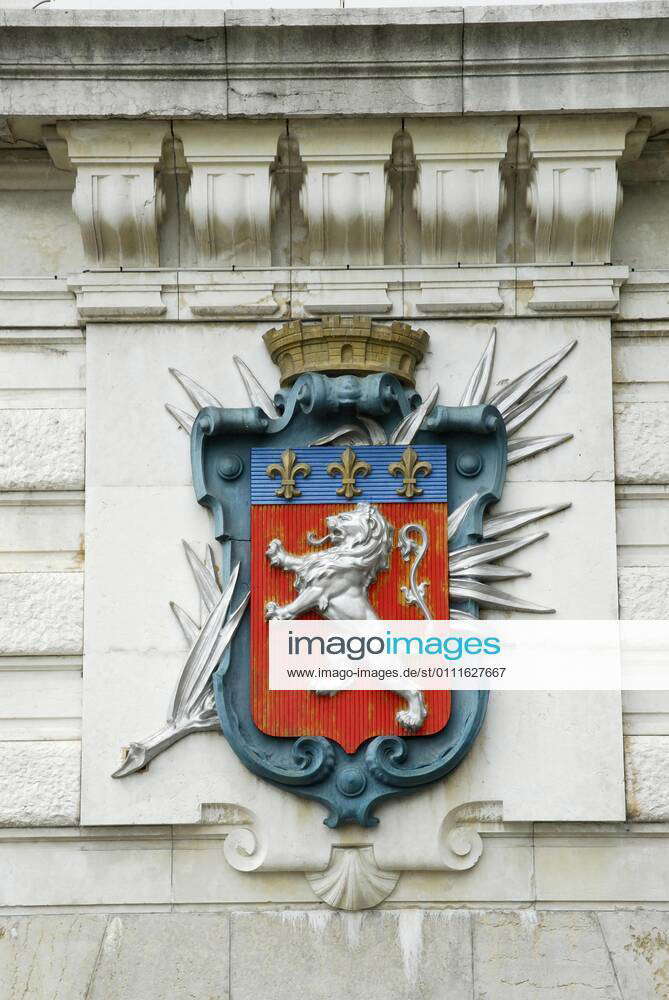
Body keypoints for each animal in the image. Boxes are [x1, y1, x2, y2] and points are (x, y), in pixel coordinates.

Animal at [264, 504, 426, 732]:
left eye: (344, 517)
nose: (327, 518)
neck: (347, 553)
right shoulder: (313, 567)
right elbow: (300, 561)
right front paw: (278, 552)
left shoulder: (319, 589)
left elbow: (299, 603)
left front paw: (277, 613)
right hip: (340, 655)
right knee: (346, 675)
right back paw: (324, 686)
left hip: (384, 666)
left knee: (412, 690)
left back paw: (412, 718)